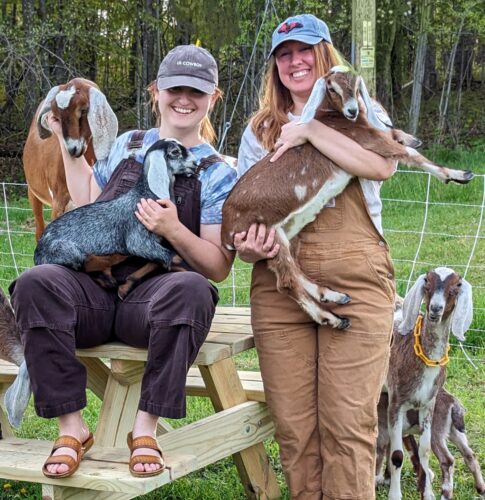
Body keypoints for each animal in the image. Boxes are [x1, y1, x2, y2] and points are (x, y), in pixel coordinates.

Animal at [34, 138, 198, 296]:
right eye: (175, 152)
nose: (196, 163)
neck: (145, 194)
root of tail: (37, 252)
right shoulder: (138, 240)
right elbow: (174, 256)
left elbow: (157, 261)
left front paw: (127, 285)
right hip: (65, 249)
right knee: (85, 263)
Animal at [219, 70, 472, 328]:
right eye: (332, 88)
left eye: (357, 84)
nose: (352, 110)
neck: (332, 117)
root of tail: (226, 232)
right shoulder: (364, 138)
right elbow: (408, 154)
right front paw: (459, 175)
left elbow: (395, 136)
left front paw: (412, 138)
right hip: (266, 232)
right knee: (287, 282)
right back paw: (333, 318)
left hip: (282, 233)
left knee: (292, 271)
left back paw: (334, 295)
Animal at [384, 268, 470, 500]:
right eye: (427, 282)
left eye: (456, 286)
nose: (435, 308)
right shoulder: (396, 402)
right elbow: (397, 455)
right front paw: (394, 495)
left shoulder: (427, 405)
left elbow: (424, 450)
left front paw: (428, 493)